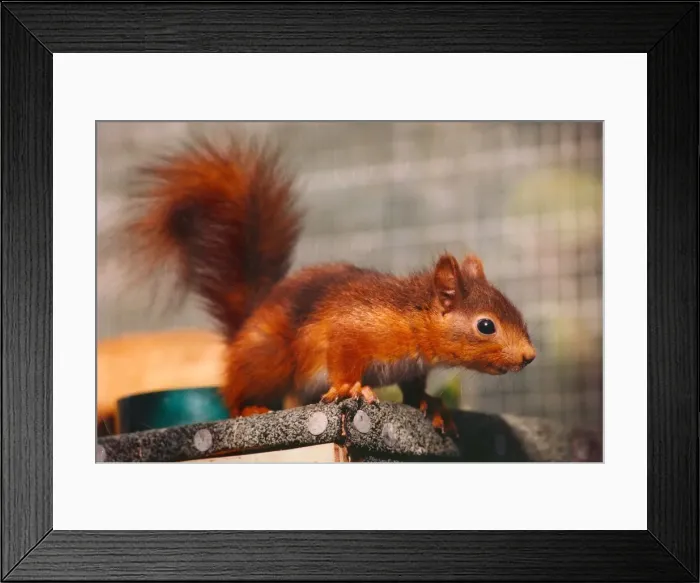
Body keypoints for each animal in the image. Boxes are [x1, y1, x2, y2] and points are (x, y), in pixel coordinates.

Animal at [123, 137, 536, 434]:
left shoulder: (411, 367)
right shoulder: (355, 329)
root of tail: (246, 325)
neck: (410, 317)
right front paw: (349, 388)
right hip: (268, 357)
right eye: (486, 325)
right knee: (235, 392)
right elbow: (343, 358)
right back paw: (250, 406)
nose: (528, 357)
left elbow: (415, 389)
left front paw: (432, 404)